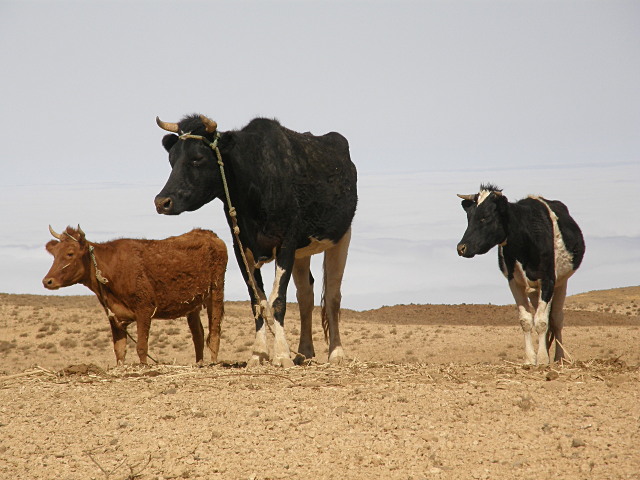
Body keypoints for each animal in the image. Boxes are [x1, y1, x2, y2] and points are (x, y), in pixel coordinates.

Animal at [42, 227, 228, 366]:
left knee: (214, 331)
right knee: (198, 334)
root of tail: (210, 234)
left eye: (70, 253)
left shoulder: (145, 309)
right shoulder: (114, 316)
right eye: (54, 254)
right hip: (193, 303)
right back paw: (199, 363)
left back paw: (213, 362)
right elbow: (119, 349)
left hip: (216, 291)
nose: (47, 281)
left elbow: (141, 347)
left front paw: (143, 367)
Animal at [153, 115, 358, 368]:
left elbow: (277, 300)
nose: (162, 202)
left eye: (197, 158)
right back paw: (304, 352)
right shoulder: (242, 248)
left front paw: (281, 354)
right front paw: (258, 354)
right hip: (302, 252)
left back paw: (336, 353)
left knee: (332, 295)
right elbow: (257, 302)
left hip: (341, 237)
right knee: (305, 296)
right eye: (172, 159)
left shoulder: (286, 244)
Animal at [456, 186, 584, 366]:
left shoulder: (548, 281)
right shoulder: (515, 283)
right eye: (469, 217)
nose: (461, 247)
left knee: (556, 319)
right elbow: (526, 320)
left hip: (561, 283)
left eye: (485, 217)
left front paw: (542, 359)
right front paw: (530, 359)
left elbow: (542, 321)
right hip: (534, 291)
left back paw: (559, 357)